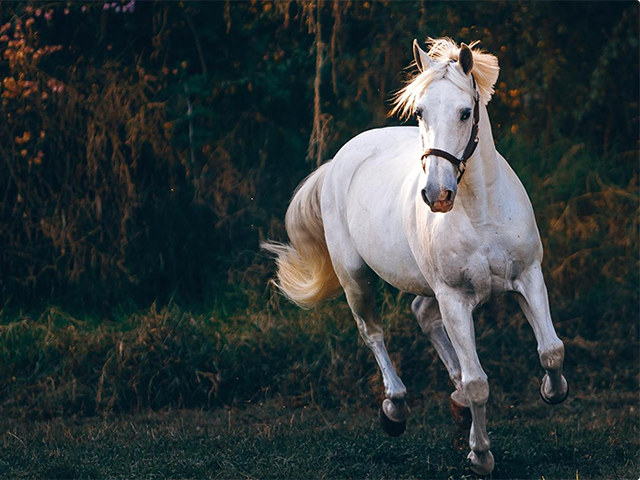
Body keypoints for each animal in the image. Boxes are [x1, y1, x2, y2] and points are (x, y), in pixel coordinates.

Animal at [262, 37, 568, 475]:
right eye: (420, 111)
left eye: (465, 112)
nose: (436, 195)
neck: (481, 211)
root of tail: (339, 160)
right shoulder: (454, 298)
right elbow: (478, 382)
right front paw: (480, 456)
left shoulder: (528, 277)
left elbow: (551, 351)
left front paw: (549, 390)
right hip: (355, 277)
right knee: (373, 332)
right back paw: (395, 409)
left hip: (426, 285)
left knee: (422, 314)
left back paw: (454, 403)